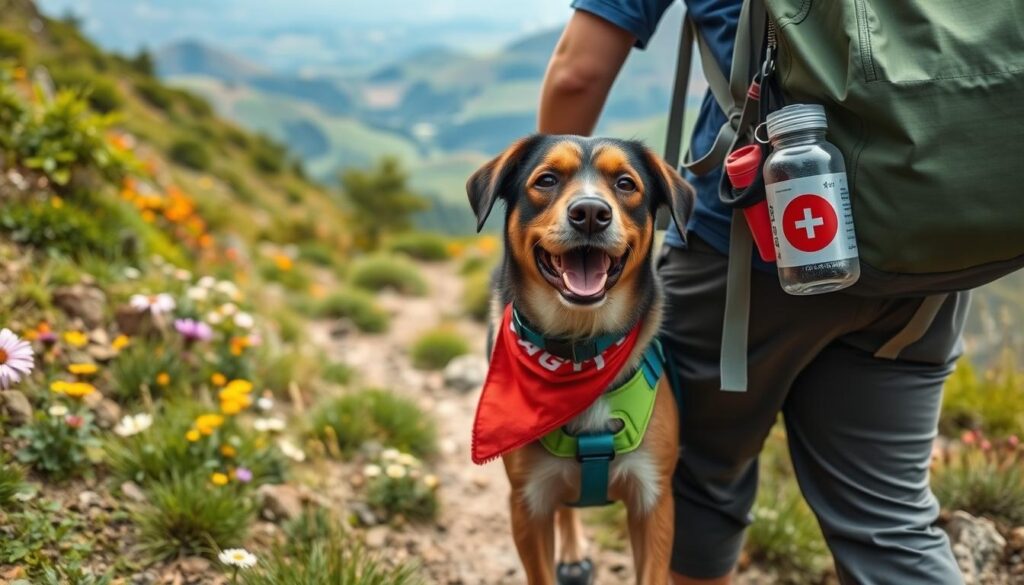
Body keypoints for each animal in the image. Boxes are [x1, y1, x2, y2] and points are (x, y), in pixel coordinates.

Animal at [466, 136, 692, 585]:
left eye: (626, 183)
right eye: (546, 180)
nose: (590, 213)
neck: (581, 348)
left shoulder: (654, 500)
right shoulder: (527, 503)